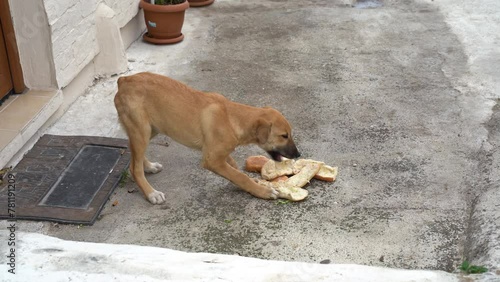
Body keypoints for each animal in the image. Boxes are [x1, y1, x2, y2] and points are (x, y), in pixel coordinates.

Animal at [114, 72, 300, 205]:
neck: (232, 118)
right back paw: (151, 193)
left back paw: (149, 166)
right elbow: (239, 176)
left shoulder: (221, 153)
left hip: (152, 128)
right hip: (141, 129)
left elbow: (235, 169)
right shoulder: (212, 160)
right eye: (284, 136)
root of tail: (125, 80)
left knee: (134, 156)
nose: (298, 155)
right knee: (134, 168)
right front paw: (263, 191)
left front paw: (257, 183)